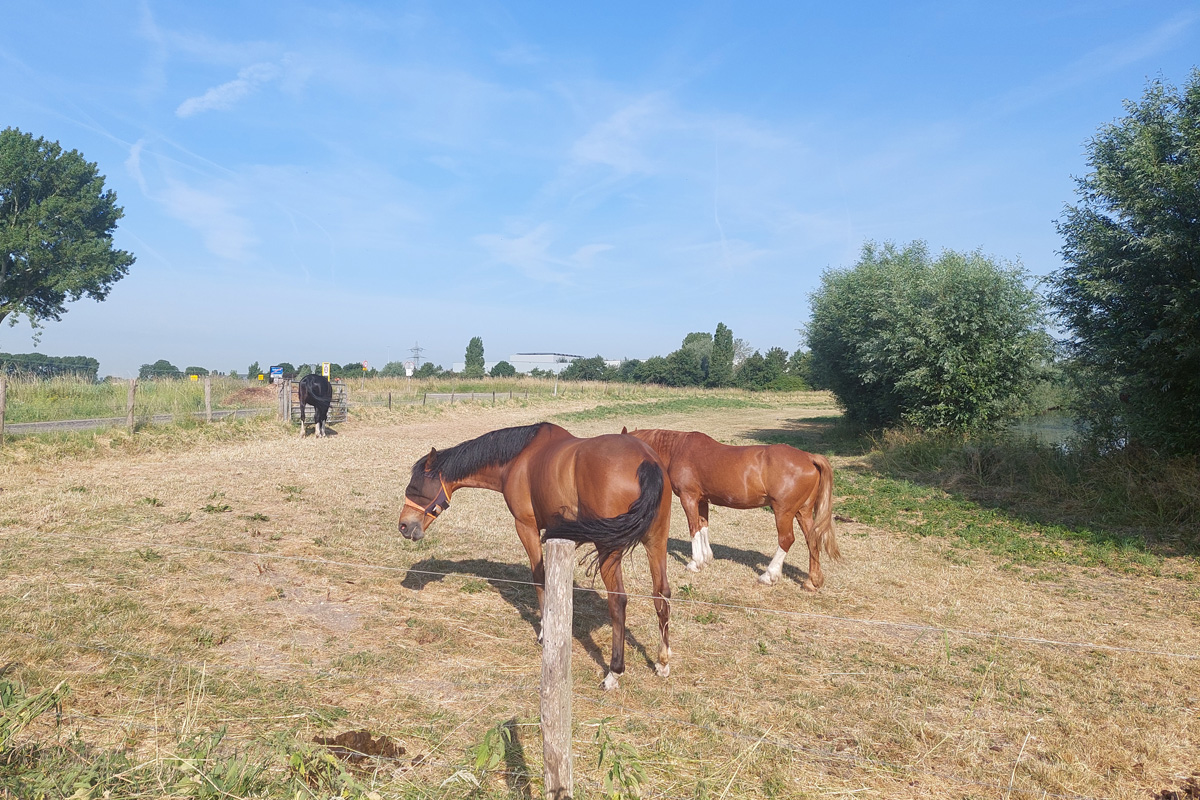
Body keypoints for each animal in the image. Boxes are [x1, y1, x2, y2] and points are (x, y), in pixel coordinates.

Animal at [397, 422, 673, 690]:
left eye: (415, 487)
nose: (404, 526)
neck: (519, 457)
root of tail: (647, 461)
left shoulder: (526, 527)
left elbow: (539, 577)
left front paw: (544, 631)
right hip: (656, 542)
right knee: (661, 594)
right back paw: (663, 662)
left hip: (609, 550)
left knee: (618, 602)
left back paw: (614, 672)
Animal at [622, 427, 840, 590]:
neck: (677, 449)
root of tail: (809, 457)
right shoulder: (703, 500)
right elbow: (703, 527)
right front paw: (707, 558)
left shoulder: (688, 498)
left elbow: (693, 529)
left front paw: (695, 563)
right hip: (803, 511)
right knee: (812, 539)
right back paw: (813, 581)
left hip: (783, 511)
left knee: (786, 539)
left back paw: (769, 575)